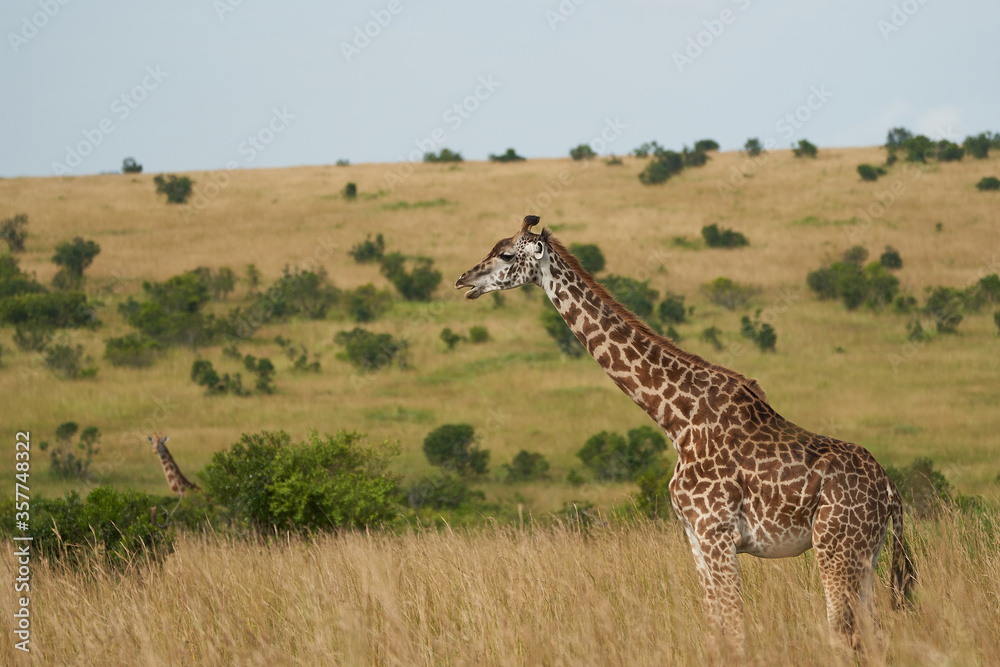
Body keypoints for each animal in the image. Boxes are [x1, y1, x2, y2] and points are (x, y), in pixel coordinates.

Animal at [455, 215, 915, 650]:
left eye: (506, 255)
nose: (464, 281)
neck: (676, 419)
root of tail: (891, 491)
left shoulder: (717, 534)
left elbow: (737, 631)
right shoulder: (694, 538)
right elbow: (717, 632)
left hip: (835, 547)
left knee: (843, 632)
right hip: (866, 555)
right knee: (874, 634)